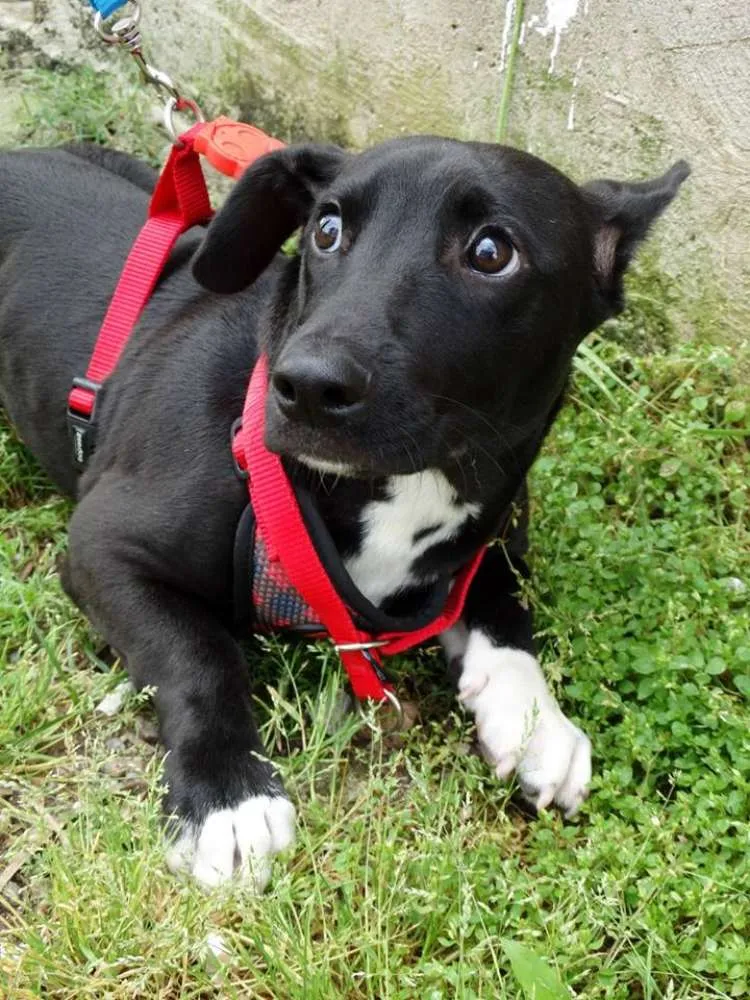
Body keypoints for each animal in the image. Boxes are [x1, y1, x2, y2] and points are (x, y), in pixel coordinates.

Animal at [0, 136, 688, 889]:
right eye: (326, 230)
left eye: (491, 251)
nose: (305, 386)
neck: (403, 487)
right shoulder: (103, 547)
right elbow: (196, 655)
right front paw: (228, 795)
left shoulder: (496, 535)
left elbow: (505, 609)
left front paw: (534, 717)